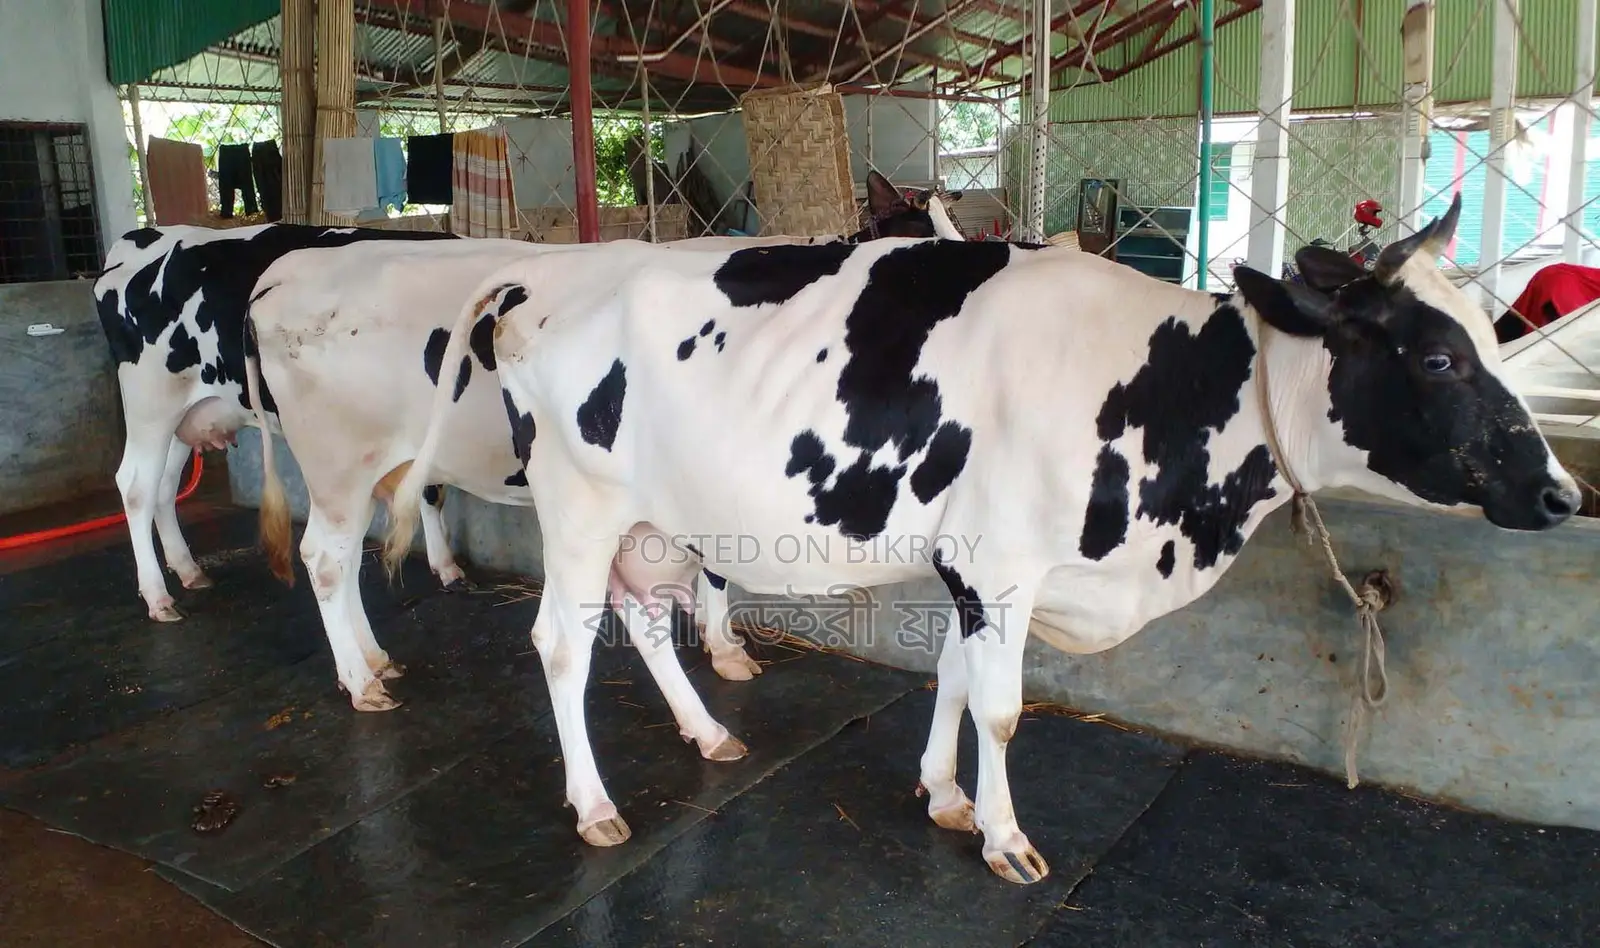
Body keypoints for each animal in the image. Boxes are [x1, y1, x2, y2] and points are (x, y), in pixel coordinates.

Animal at [93, 223, 465, 623]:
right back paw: (157, 596)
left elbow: (431, 491)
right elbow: (428, 489)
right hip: (151, 405)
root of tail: (145, 235)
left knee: (164, 487)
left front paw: (445, 565)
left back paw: (189, 570)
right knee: (136, 487)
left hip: (186, 414)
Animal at [242, 174, 964, 710]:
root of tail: (287, 270)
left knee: (346, 559)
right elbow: (717, 568)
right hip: (336, 462)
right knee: (324, 559)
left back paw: (374, 659)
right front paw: (726, 649)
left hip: (367, 469)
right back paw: (361, 682)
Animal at [382, 192, 1580, 883]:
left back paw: (710, 736)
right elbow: (1001, 708)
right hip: (577, 505)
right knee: (561, 645)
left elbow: (956, 683)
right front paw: (1006, 837)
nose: (1562, 493)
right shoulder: (1000, 565)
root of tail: (550, 273)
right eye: (1437, 358)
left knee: (641, 621)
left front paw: (946, 797)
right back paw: (593, 807)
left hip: (654, 520)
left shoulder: (968, 566)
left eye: (1490, 338)